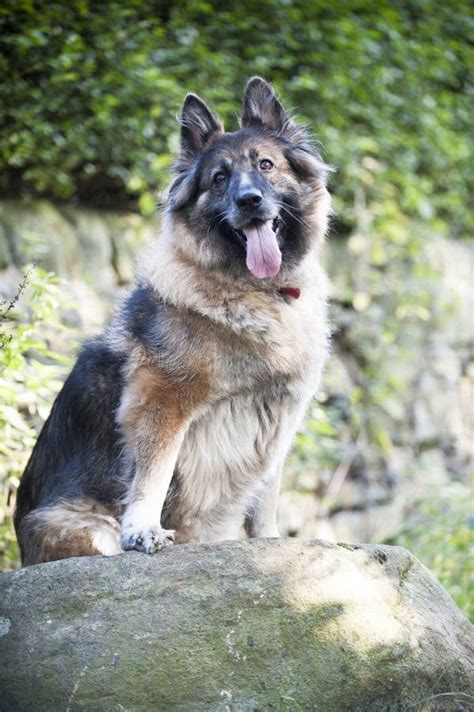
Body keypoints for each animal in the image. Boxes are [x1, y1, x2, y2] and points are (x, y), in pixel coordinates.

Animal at [15, 78, 334, 564]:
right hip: (84, 529)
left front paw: (270, 540)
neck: (254, 291)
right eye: (219, 178)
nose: (250, 201)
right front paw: (144, 529)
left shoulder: (278, 418)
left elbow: (266, 493)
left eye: (266, 164)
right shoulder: (162, 400)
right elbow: (154, 474)